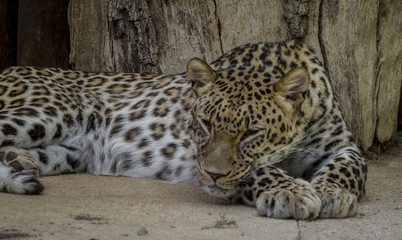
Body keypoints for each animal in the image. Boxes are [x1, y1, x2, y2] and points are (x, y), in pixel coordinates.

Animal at [0, 39, 368, 219]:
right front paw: (290, 193)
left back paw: (19, 163)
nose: (213, 175)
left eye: (251, 133)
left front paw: (332, 193)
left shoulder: (343, 145)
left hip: (70, 151)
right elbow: (257, 171)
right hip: (54, 110)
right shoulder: (196, 154)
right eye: (205, 124)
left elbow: (350, 167)